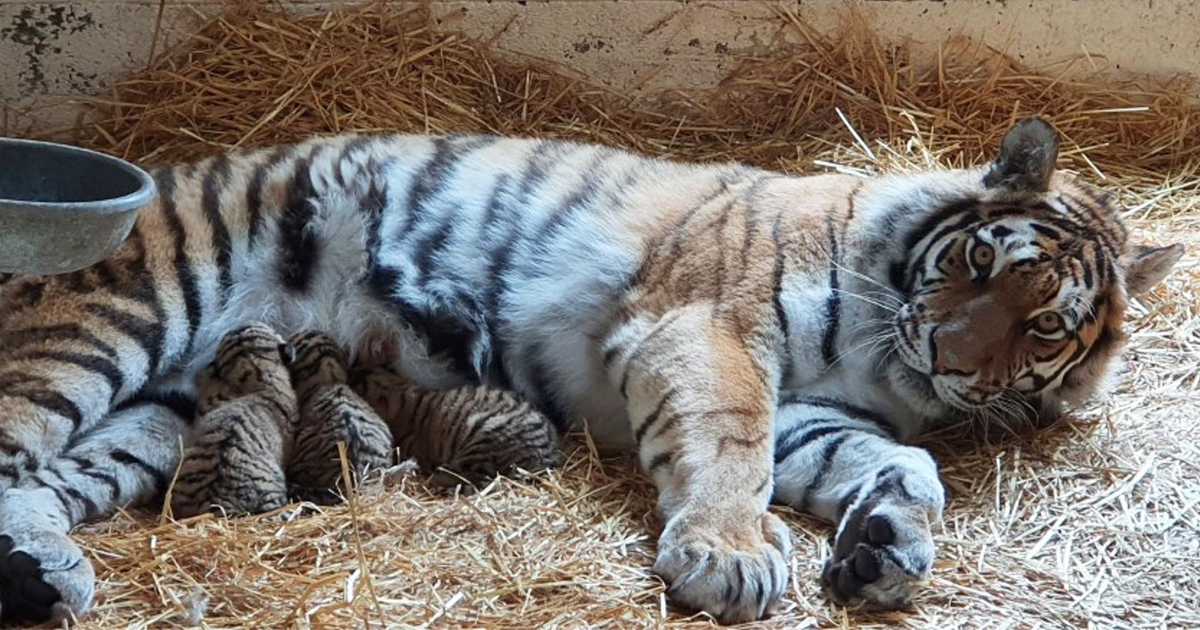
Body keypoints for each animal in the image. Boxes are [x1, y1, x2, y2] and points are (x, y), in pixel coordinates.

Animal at [0, 119, 1180, 624]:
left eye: (1043, 325)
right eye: (983, 264)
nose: (951, 358)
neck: (888, 350)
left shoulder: (815, 406)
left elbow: (893, 463)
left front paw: (885, 541)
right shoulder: (707, 326)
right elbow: (730, 445)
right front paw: (730, 558)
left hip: (164, 406)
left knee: (45, 479)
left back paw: (42, 573)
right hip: (121, 316)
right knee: (17, 438)